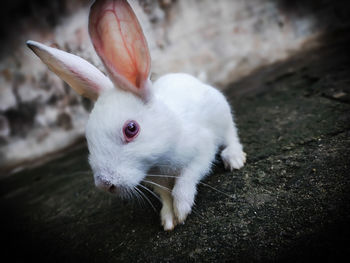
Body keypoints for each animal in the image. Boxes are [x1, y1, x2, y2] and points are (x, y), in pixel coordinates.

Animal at [26, 0, 246, 231]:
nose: (104, 184)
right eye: (88, 136)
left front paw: (182, 209)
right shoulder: (154, 180)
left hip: (222, 113)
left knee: (231, 135)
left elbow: (186, 179)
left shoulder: (202, 150)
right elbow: (165, 195)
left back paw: (234, 158)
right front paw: (168, 220)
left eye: (131, 129)